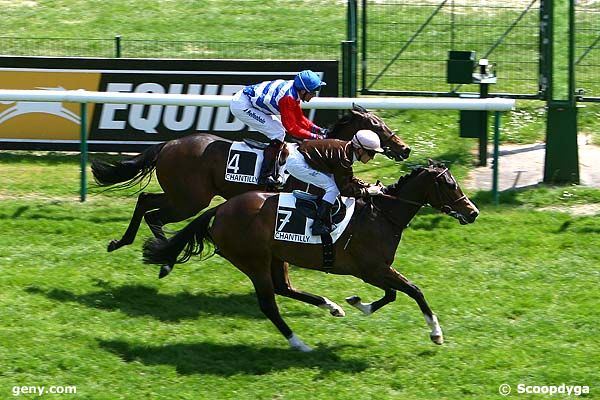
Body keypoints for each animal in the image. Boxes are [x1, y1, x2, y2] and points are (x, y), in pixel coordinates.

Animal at [91, 104, 410, 276]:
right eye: (378, 127)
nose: (405, 149)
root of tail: (168, 144)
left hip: (181, 195)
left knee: (146, 201)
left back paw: (123, 243)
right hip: (189, 200)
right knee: (154, 214)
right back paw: (164, 259)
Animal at [143, 161, 480, 352]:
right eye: (449, 185)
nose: (473, 212)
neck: (383, 215)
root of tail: (220, 210)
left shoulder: (375, 270)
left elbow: (393, 294)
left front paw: (357, 303)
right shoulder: (371, 269)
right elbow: (413, 291)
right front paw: (436, 333)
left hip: (276, 257)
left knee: (284, 288)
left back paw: (331, 306)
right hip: (253, 261)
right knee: (269, 304)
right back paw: (299, 343)